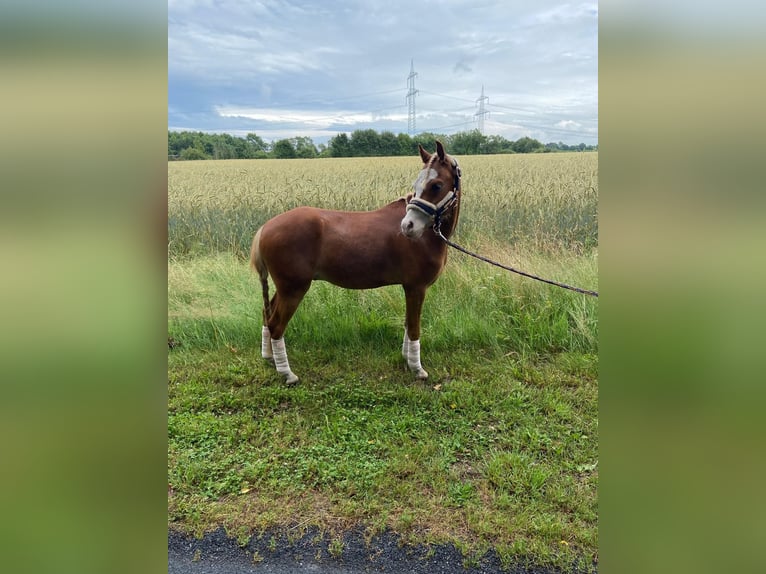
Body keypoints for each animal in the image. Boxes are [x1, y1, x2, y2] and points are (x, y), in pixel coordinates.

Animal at [252, 140, 462, 384]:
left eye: (436, 185)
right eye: (418, 184)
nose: (407, 226)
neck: (427, 236)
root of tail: (266, 227)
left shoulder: (410, 288)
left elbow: (408, 323)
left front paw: (406, 359)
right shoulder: (416, 287)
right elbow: (414, 328)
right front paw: (417, 368)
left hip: (284, 288)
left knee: (267, 315)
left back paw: (270, 358)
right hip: (293, 289)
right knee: (276, 325)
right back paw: (287, 373)